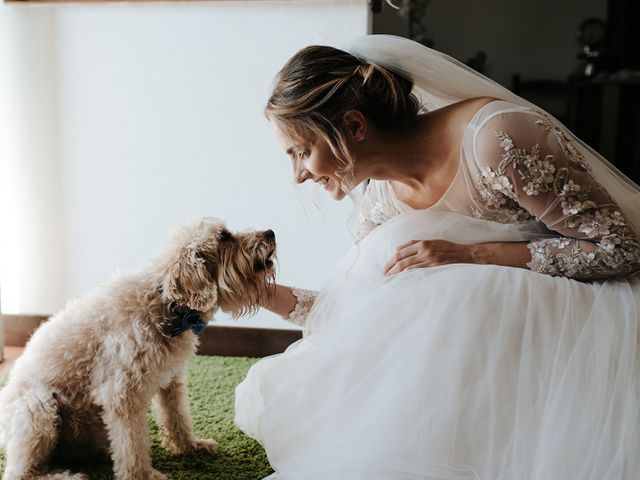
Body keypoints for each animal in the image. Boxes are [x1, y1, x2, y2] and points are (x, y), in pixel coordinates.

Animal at [0, 218, 274, 480]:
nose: (270, 232)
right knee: (19, 473)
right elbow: (132, 445)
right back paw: (66, 476)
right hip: (39, 408)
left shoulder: (171, 379)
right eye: (224, 237)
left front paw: (191, 446)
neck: (167, 305)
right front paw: (143, 476)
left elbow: (177, 418)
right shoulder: (122, 394)